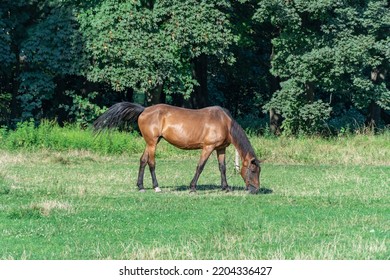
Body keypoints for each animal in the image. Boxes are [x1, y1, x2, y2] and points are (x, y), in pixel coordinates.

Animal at [93, 101, 260, 194]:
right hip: (152, 143)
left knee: (143, 161)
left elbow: (222, 168)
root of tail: (144, 110)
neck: (224, 122)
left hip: (151, 142)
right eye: (253, 170)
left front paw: (225, 188)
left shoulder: (220, 148)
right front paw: (192, 188)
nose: (255, 189)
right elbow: (200, 167)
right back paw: (156, 187)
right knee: (151, 163)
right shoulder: (208, 147)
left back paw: (141, 186)